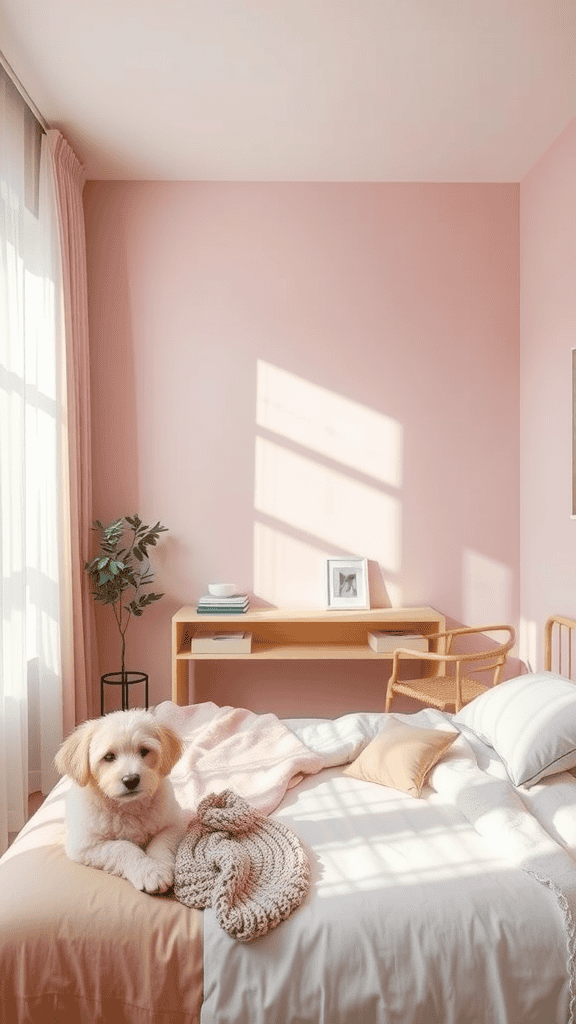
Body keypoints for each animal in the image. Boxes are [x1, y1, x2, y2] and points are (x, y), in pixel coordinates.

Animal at [54, 708, 183, 892]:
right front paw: (149, 871)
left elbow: (161, 843)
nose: (131, 780)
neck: (129, 807)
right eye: (108, 756)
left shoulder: (175, 824)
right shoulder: (84, 845)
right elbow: (123, 847)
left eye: (144, 751)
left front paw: (160, 866)